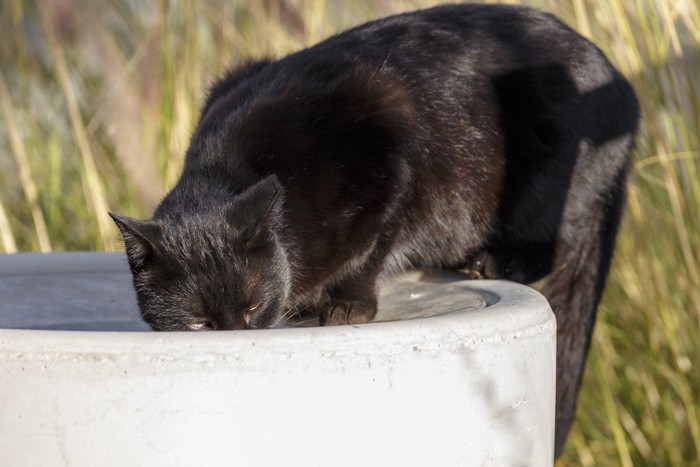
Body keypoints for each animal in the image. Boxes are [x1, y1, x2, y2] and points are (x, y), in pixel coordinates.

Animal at [110, 3, 640, 458]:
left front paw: (347, 304)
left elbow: (373, 244)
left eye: (253, 308)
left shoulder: (390, 141)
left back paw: (489, 260)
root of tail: (623, 87)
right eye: (200, 326)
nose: (237, 342)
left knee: (550, 247)